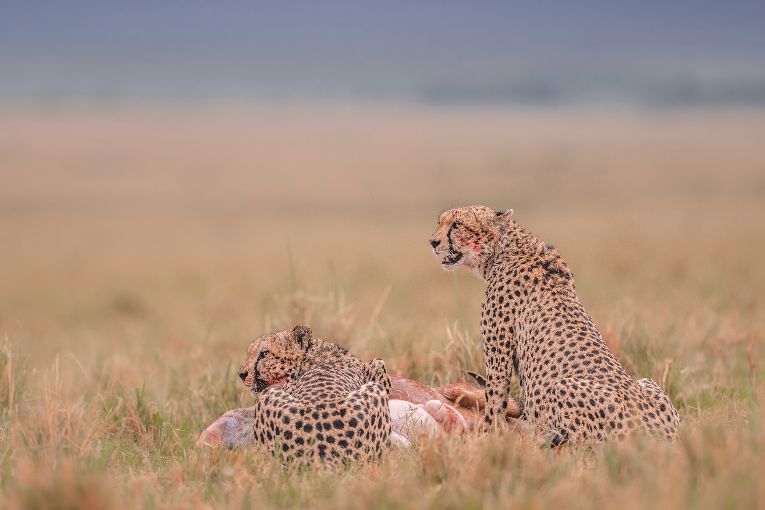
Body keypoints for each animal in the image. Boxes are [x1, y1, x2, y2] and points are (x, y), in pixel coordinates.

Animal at [429, 205, 680, 444]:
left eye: (457, 224)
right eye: (441, 222)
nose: (433, 242)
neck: (508, 247)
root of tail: (662, 435)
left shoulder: (499, 349)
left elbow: (496, 397)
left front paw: (487, 437)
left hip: (562, 389)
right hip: (649, 383)